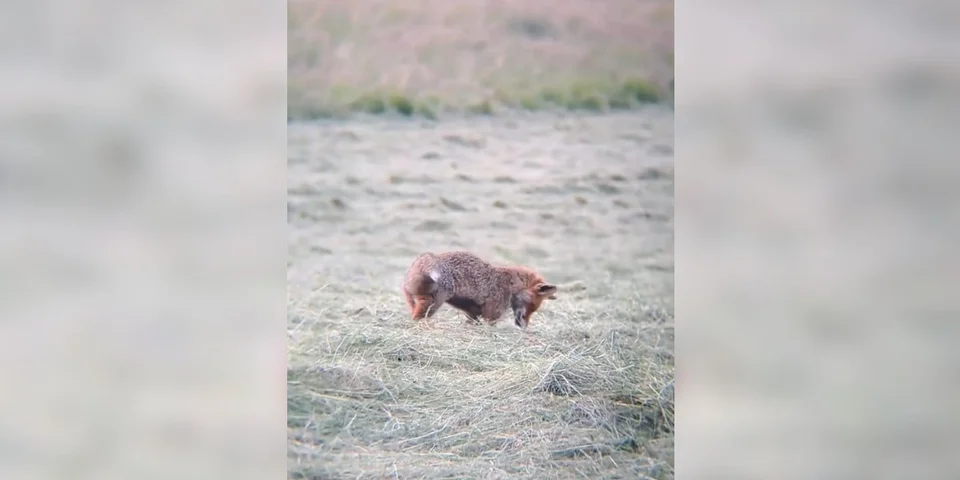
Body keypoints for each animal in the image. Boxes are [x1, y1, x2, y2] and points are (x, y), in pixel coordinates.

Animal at [402, 250, 558, 329]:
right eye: (532, 304)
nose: (524, 327)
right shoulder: (492, 315)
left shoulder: (472, 312)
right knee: (417, 318)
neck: (512, 284)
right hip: (433, 304)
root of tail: (425, 259)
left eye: (535, 308)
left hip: (414, 301)